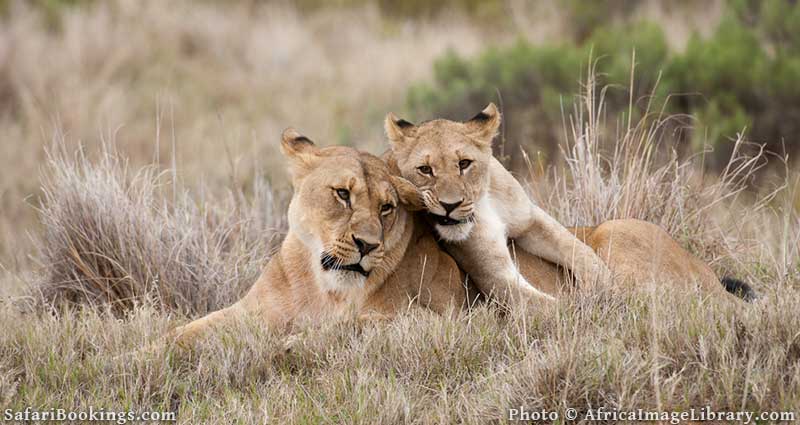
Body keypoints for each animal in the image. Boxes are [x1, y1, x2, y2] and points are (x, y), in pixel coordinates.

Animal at [169, 128, 478, 344]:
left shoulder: (439, 316)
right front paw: (158, 351)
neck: (323, 289)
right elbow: (189, 330)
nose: (367, 245)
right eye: (342, 194)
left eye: (386, 207)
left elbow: (352, 323)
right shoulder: (250, 310)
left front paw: (291, 342)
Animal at [384, 101, 608, 304]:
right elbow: (547, 305)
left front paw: (604, 288)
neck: (485, 202)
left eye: (464, 163)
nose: (450, 205)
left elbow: (581, 252)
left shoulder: (530, 219)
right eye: (425, 169)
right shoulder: (492, 274)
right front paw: (583, 305)